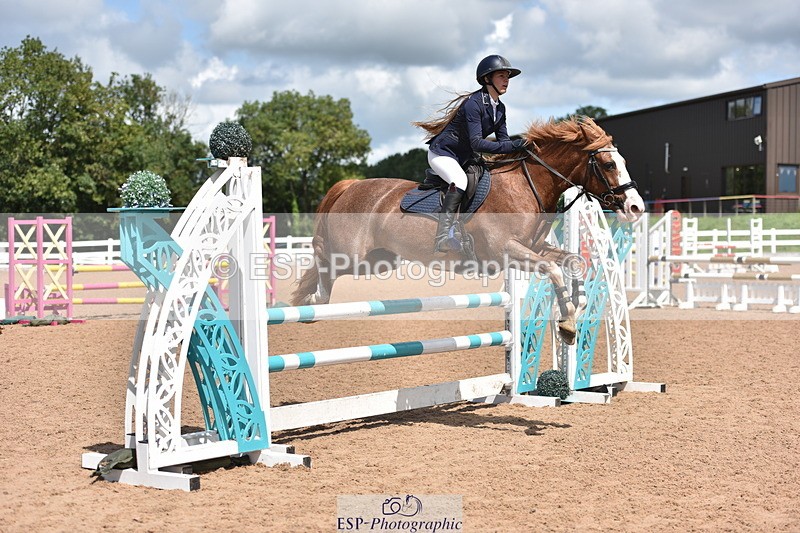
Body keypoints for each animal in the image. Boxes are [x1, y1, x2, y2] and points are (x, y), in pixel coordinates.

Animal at [291, 118, 645, 344]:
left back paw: (308, 301)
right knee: (322, 257)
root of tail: (350, 185)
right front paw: (568, 321)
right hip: (351, 254)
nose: (636, 208)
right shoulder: (508, 251)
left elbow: (573, 261)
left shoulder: (533, 248)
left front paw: (576, 307)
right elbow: (554, 269)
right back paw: (312, 299)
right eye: (609, 165)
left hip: (378, 261)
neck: (525, 187)